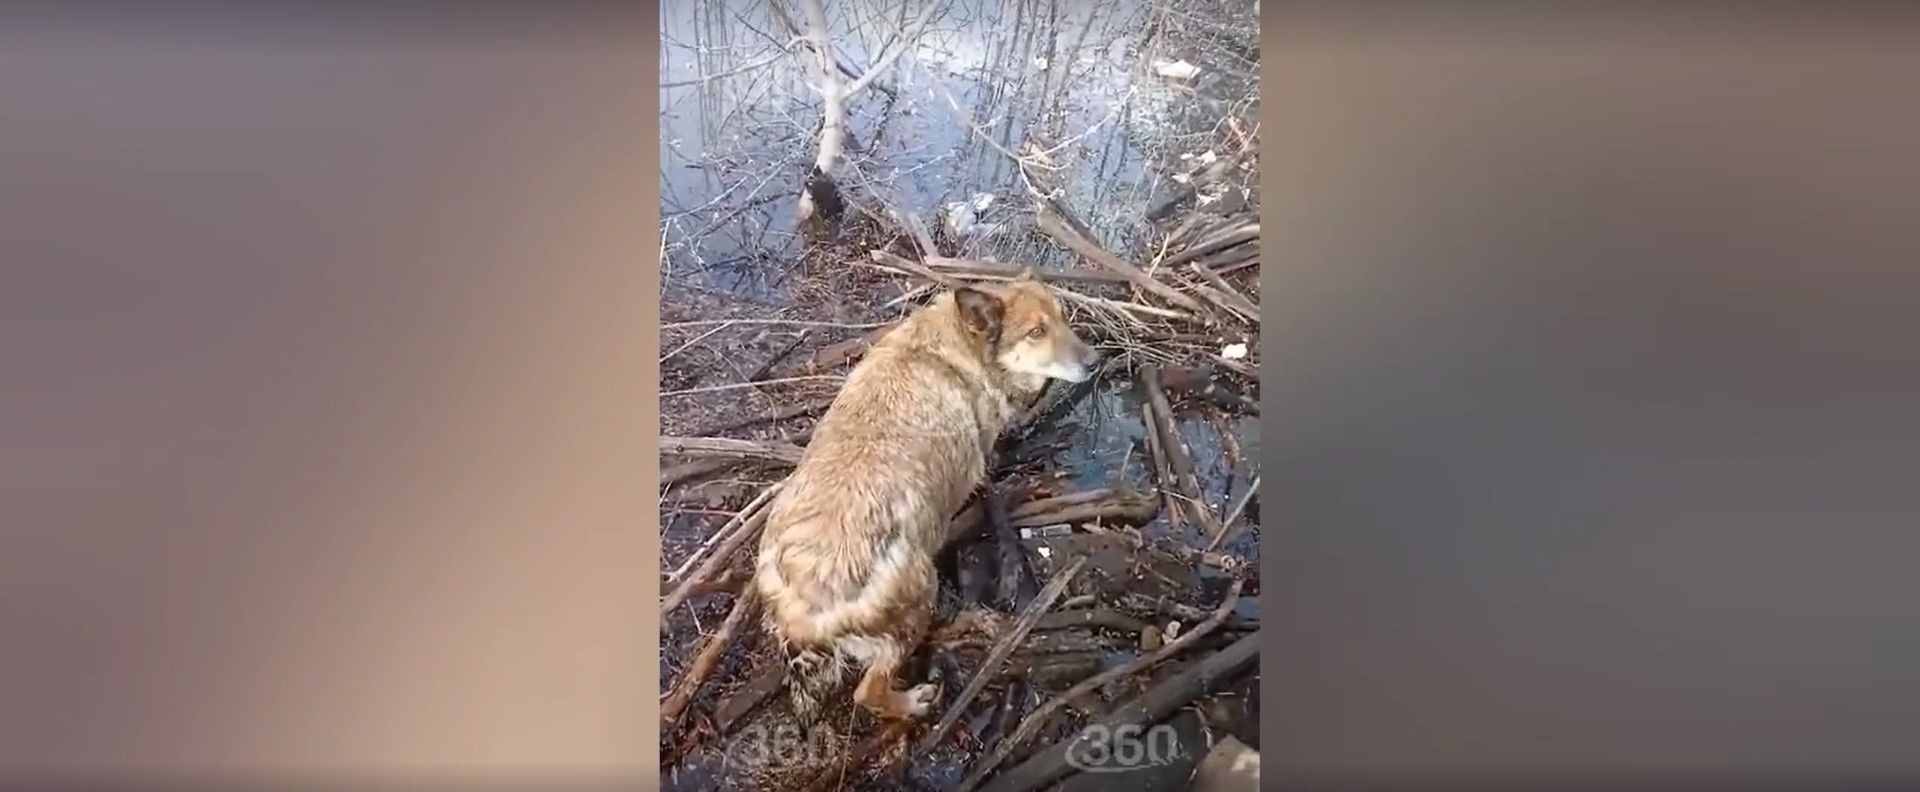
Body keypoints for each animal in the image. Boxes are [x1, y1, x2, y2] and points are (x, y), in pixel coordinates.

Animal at [756, 268, 1105, 717]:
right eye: (1036, 332)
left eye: (1062, 318)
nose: (1094, 361)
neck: (955, 350)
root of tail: (798, 607)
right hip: (921, 595)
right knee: (869, 690)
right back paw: (915, 700)